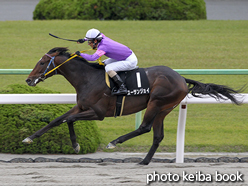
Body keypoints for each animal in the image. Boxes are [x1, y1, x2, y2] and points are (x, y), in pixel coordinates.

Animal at [23, 47, 240, 165]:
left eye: (41, 63)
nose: (28, 80)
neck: (88, 78)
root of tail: (181, 78)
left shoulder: (97, 113)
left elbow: (69, 120)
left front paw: (76, 146)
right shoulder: (82, 107)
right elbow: (57, 120)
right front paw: (29, 138)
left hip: (156, 102)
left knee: (144, 127)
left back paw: (114, 142)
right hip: (164, 109)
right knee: (157, 135)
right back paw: (144, 161)